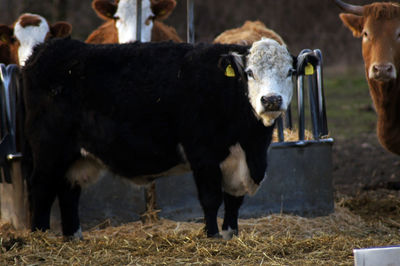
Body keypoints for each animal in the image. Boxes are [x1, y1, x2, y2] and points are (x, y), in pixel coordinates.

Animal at [21, 38, 296, 241]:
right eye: (249, 73)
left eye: (290, 72)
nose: (271, 100)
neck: (251, 143)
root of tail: (45, 49)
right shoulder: (203, 155)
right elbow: (211, 199)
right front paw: (213, 236)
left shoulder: (240, 164)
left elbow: (234, 201)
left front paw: (231, 235)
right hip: (48, 151)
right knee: (41, 189)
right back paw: (39, 236)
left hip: (77, 157)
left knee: (68, 192)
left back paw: (73, 238)